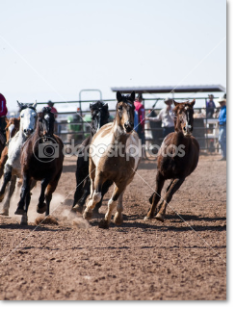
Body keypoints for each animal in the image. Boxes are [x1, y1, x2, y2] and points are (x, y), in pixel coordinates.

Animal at [83, 90, 141, 227]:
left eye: (133, 107)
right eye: (119, 107)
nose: (128, 126)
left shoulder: (123, 180)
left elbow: (112, 201)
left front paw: (105, 222)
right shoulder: (100, 174)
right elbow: (97, 196)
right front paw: (87, 213)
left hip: (128, 179)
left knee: (119, 195)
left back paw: (118, 216)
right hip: (92, 168)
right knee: (92, 186)